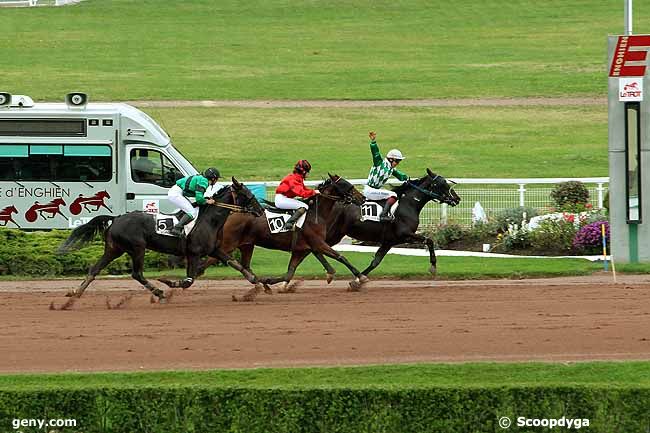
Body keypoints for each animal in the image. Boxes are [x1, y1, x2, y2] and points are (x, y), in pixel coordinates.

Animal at [58, 177, 264, 302]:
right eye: (247, 195)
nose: (261, 210)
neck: (209, 220)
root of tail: (116, 218)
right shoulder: (194, 252)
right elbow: (188, 280)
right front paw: (167, 282)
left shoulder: (214, 249)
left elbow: (236, 264)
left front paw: (258, 282)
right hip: (137, 248)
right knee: (137, 274)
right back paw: (159, 292)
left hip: (114, 249)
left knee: (94, 269)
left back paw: (75, 293)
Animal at [195, 172, 368, 300]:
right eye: (346, 185)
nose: (363, 198)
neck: (315, 214)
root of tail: (230, 213)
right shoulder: (318, 243)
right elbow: (341, 257)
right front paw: (361, 277)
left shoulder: (302, 248)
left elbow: (289, 272)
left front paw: (271, 281)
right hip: (228, 244)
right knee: (208, 262)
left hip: (246, 245)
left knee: (244, 265)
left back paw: (260, 285)